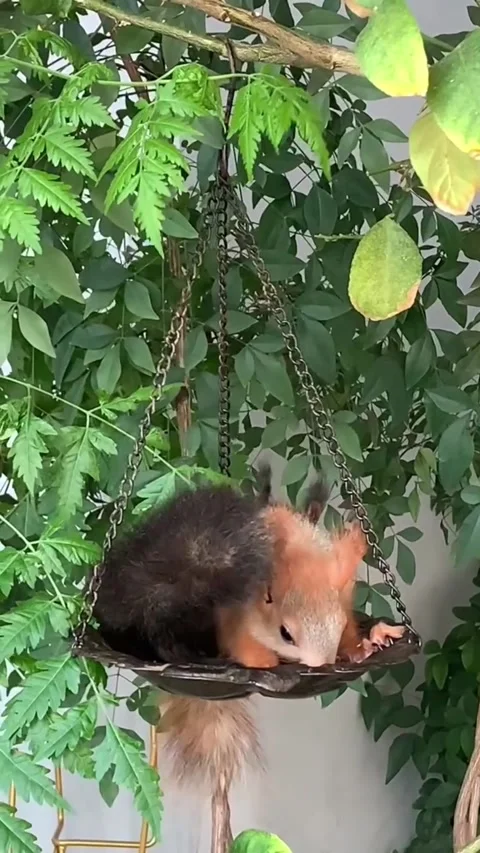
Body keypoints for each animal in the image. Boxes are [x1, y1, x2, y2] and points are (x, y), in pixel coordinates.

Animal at [94, 465, 404, 792]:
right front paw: (265, 662)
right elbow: (247, 648)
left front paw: (363, 646)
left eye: (340, 623)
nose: (320, 663)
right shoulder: (234, 619)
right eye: (286, 633)